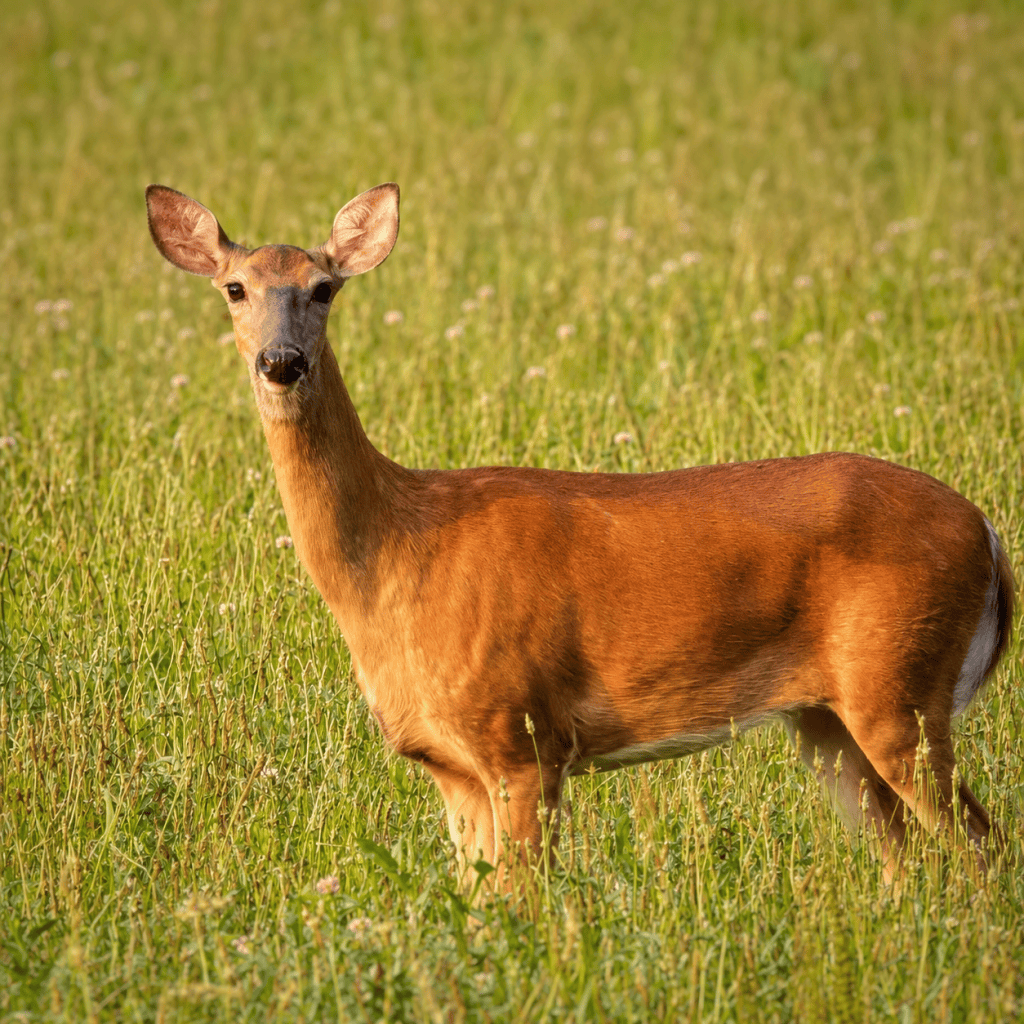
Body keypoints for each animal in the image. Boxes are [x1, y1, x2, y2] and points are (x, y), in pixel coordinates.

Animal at [146, 181, 1015, 891]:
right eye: (234, 288)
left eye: (323, 288)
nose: (281, 361)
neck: (400, 556)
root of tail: (987, 532)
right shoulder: (452, 767)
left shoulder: (522, 734)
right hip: (829, 721)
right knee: (908, 860)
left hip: (900, 686)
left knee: (985, 851)